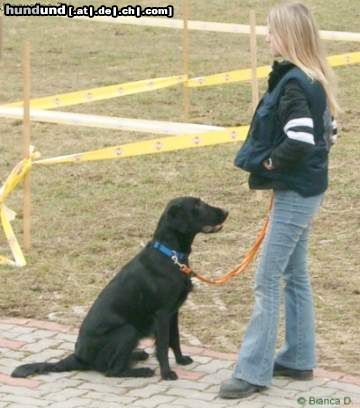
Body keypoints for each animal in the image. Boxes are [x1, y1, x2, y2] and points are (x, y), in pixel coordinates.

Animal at [12, 196, 229, 380]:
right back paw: (142, 371)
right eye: (197, 205)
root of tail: (79, 357)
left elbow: (174, 339)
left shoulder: (174, 311)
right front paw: (167, 373)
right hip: (128, 330)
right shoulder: (162, 314)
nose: (226, 211)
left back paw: (138, 355)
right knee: (112, 370)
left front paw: (181, 360)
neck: (171, 256)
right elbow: (162, 346)